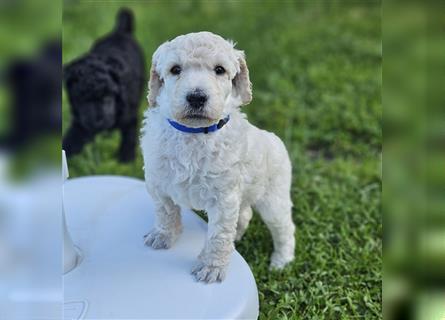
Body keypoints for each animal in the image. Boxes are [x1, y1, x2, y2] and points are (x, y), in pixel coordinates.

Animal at [62, 9, 145, 162]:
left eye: (108, 96)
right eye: (83, 98)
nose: (99, 121)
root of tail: (120, 31)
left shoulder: (129, 117)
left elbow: (128, 139)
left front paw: (126, 162)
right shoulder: (80, 121)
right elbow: (73, 139)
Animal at [140, 31, 294, 282]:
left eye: (219, 70)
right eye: (175, 69)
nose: (196, 97)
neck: (193, 133)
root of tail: (275, 139)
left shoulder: (223, 198)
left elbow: (218, 236)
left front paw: (211, 267)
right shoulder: (159, 183)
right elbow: (165, 212)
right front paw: (163, 236)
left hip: (274, 198)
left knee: (284, 229)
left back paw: (282, 261)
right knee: (245, 214)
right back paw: (238, 237)